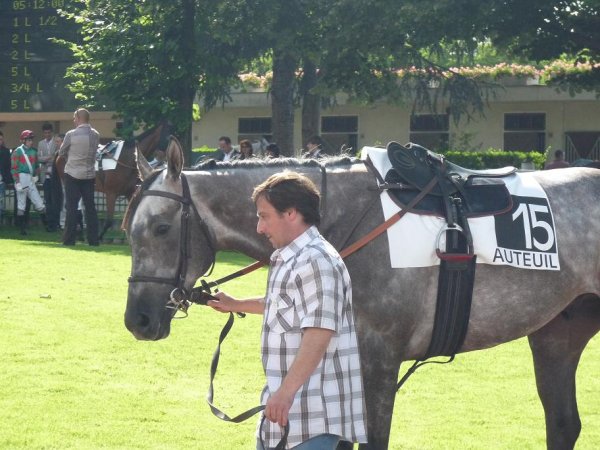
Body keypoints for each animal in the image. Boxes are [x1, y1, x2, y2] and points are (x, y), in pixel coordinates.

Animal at [124, 138, 596, 450]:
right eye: (130, 229)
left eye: (161, 228)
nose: (138, 320)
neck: (341, 218)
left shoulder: (378, 359)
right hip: (559, 333)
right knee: (562, 424)